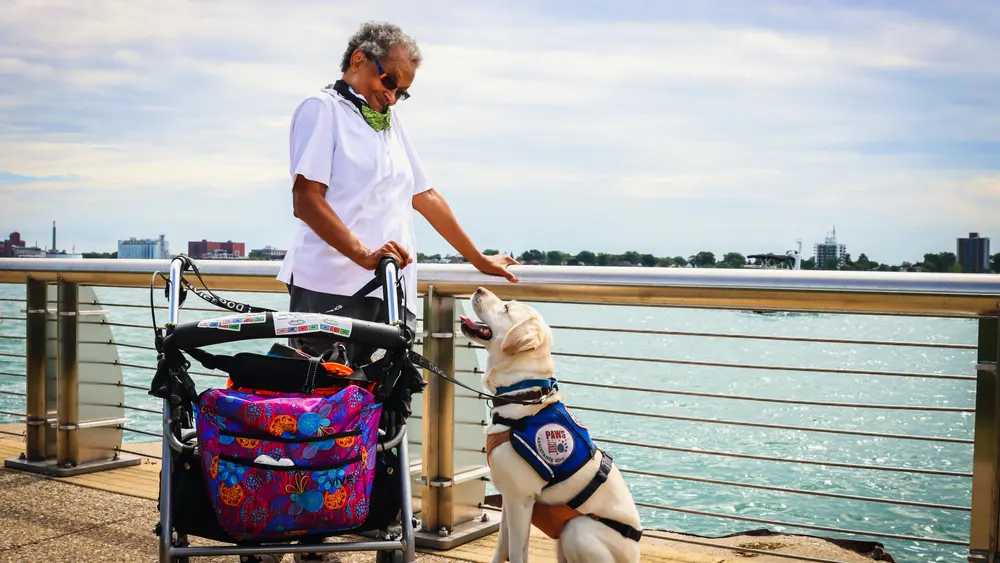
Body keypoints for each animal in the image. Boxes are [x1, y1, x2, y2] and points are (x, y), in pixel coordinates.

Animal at [458, 288, 640, 560]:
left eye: (506, 308)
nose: (480, 289)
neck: (524, 396)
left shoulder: (520, 499)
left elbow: (517, 552)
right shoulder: (509, 497)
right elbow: (502, 545)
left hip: (577, 529)